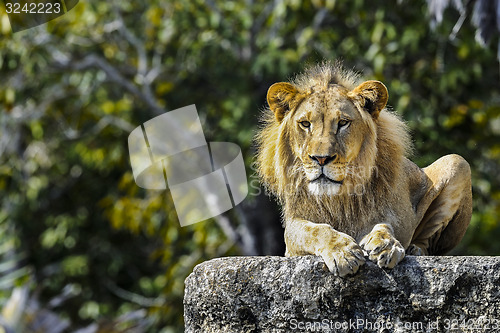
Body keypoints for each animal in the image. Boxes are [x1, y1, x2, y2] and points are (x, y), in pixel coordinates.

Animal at [256, 61, 470, 276]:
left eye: (343, 123)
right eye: (305, 124)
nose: (321, 159)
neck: (337, 198)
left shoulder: (389, 214)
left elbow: (384, 225)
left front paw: (386, 244)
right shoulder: (292, 233)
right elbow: (316, 230)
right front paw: (342, 251)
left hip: (458, 162)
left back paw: (415, 249)